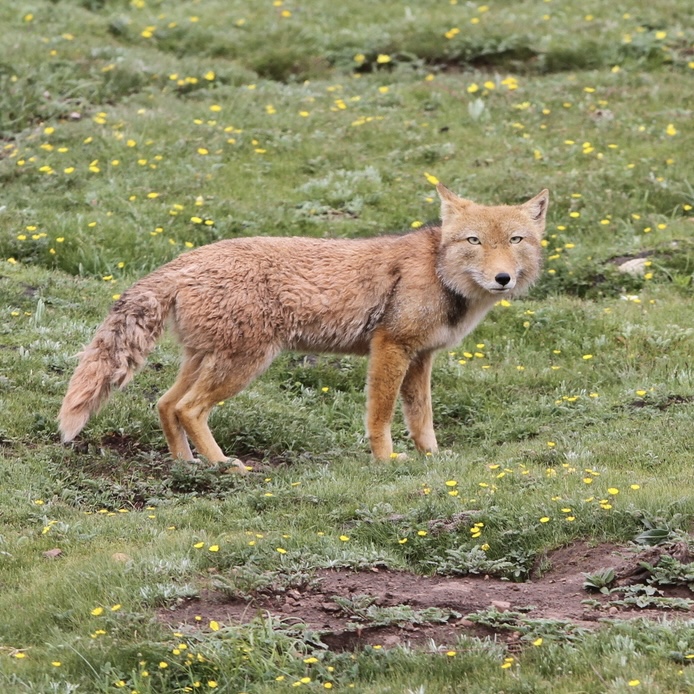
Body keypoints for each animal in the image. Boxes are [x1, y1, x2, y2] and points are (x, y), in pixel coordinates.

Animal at [59, 184, 548, 470]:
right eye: (474, 241)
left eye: (516, 240)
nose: (503, 278)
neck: (438, 271)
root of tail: (184, 261)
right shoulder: (390, 348)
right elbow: (381, 416)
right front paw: (386, 461)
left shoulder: (421, 356)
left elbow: (422, 418)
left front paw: (433, 459)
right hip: (243, 364)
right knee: (188, 409)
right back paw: (224, 465)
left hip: (206, 360)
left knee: (165, 404)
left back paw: (188, 466)